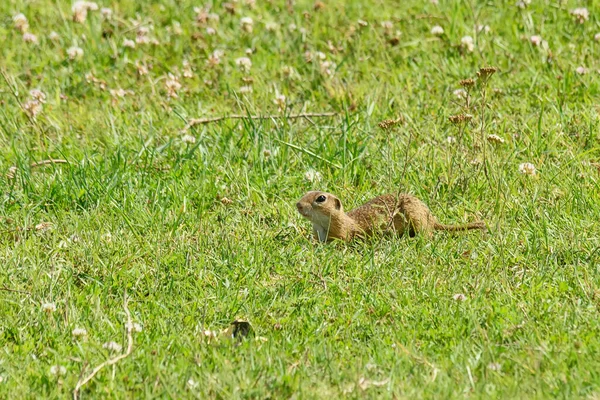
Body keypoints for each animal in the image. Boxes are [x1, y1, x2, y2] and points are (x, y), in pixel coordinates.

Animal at [296, 190, 488, 242]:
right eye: (306, 192)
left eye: (321, 198)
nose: (298, 204)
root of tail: (432, 218)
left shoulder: (344, 233)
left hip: (416, 217)